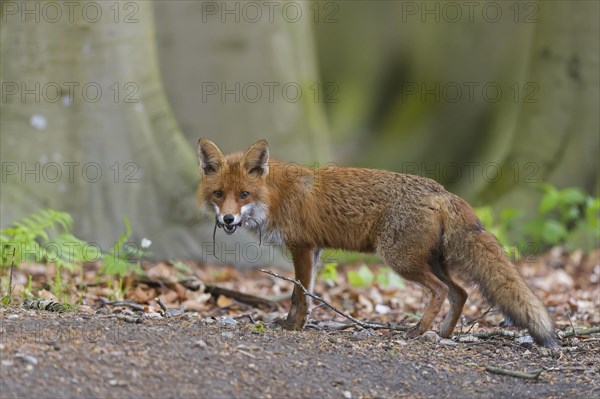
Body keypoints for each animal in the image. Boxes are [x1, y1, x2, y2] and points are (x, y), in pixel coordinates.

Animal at [197, 139, 556, 348]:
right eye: (219, 194)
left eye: (244, 194)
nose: (227, 220)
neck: (275, 195)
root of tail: (442, 190)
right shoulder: (314, 250)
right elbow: (304, 294)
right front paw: (294, 322)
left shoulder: (302, 247)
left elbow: (300, 294)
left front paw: (293, 326)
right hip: (431, 261)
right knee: (461, 292)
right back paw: (443, 335)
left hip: (401, 260)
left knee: (441, 291)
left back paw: (417, 331)